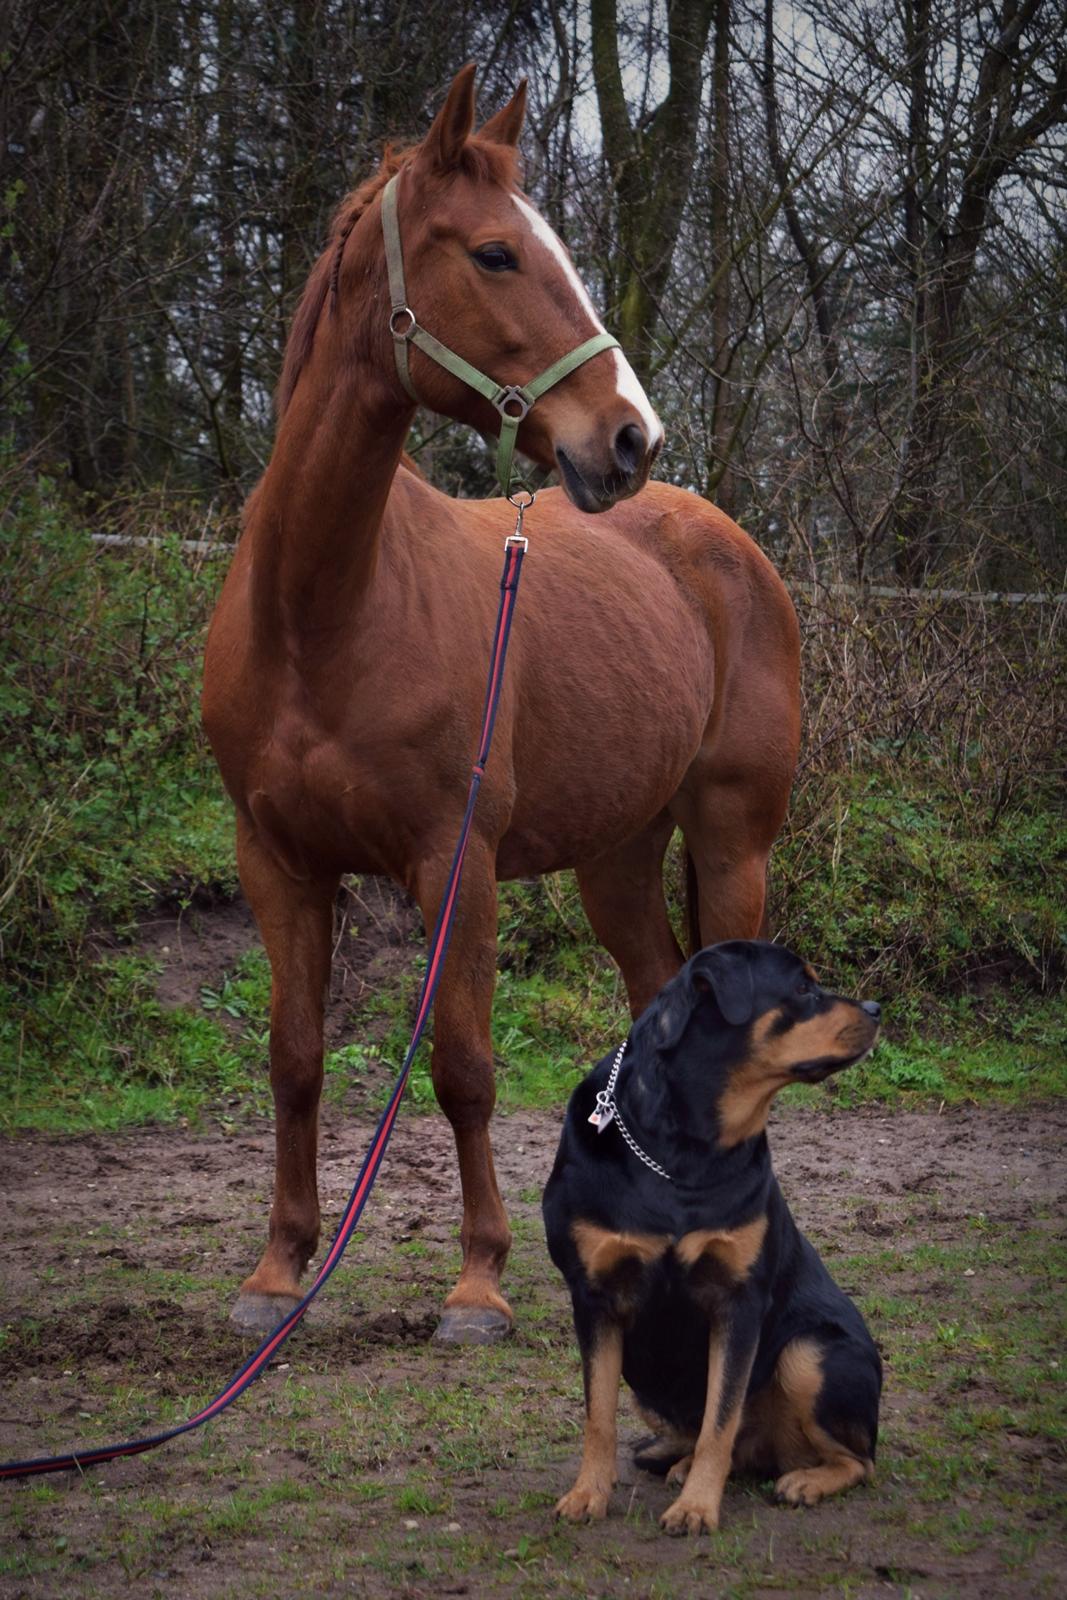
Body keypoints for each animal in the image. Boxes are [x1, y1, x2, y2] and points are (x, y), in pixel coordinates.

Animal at [202, 62, 799, 1344]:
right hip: (615, 859)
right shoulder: (276, 862)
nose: (625, 436)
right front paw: (278, 1271)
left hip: (732, 841)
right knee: (655, 1002)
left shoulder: (454, 859)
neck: (323, 613)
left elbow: (464, 1066)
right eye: (492, 253)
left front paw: (476, 1283)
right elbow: (292, 1058)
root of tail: (720, 538)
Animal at [543, 934, 883, 1536]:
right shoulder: (595, 1297)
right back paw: (676, 1462)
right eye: (803, 987)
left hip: (810, 1353)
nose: (877, 1008)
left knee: (857, 1458)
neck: (687, 1150)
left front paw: (698, 1507)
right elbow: (598, 1414)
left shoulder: (738, 1301)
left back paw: (803, 1481)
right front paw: (588, 1494)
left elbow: (720, 1420)